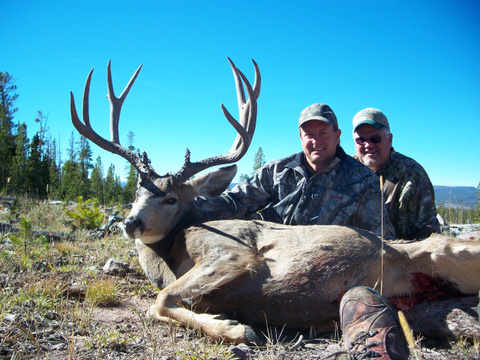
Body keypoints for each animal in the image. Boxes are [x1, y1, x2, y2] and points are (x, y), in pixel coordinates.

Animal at [69, 59, 478, 344]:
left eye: (170, 198)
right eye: (136, 192)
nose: (131, 222)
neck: (169, 252)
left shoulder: (232, 253)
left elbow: (161, 299)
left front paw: (235, 329)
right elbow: (162, 301)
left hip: (441, 250)